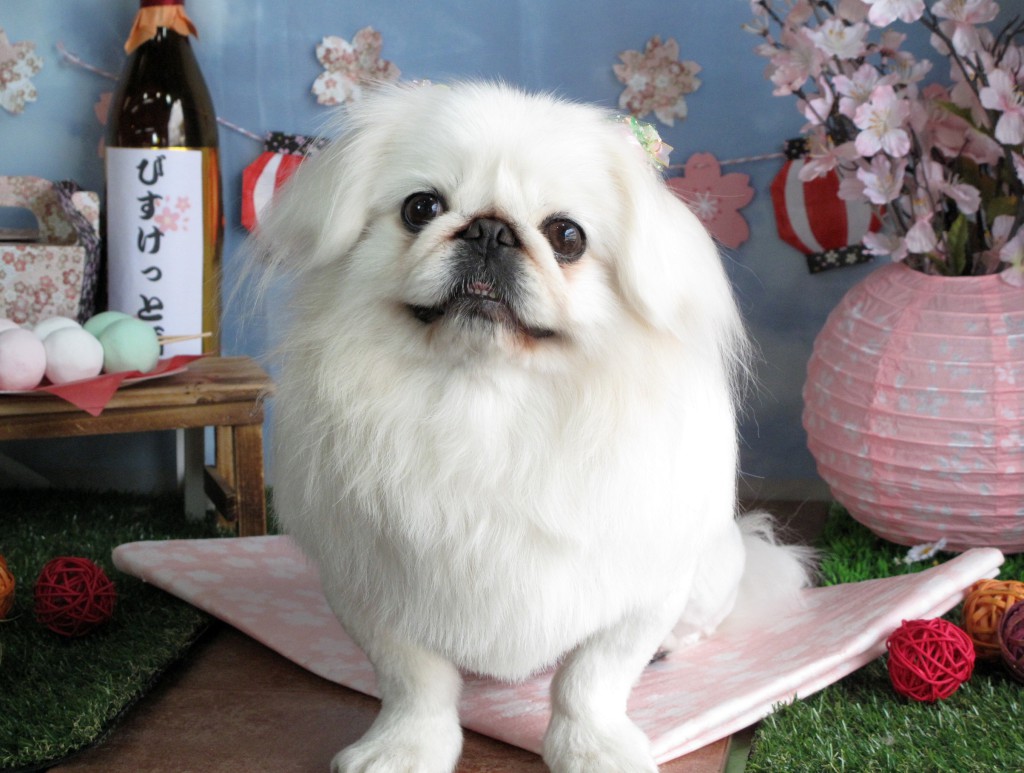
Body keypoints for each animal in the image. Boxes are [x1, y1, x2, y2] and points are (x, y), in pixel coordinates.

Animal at [252, 81, 813, 773]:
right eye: (421, 207)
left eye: (566, 235)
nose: (490, 229)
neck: (487, 402)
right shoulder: (370, 584)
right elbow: (414, 682)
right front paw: (404, 749)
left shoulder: (642, 589)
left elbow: (592, 679)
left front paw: (595, 749)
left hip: (710, 572)